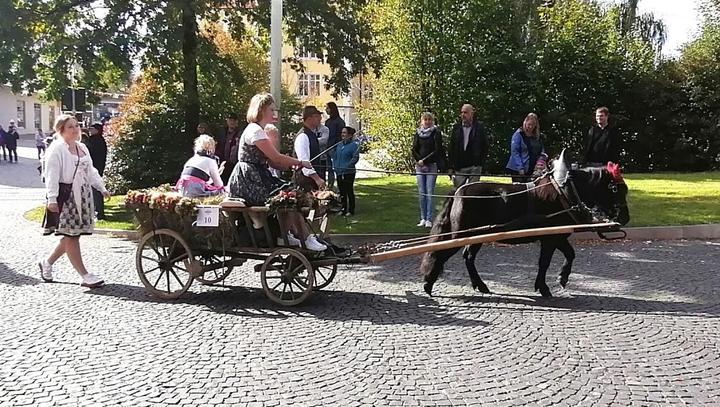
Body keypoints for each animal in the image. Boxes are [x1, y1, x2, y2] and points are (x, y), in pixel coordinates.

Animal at [422, 151, 632, 298]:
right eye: (615, 189)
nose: (625, 217)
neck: (564, 191)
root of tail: (459, 191)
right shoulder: (549, 239)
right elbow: (544, 262)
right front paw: (544, 287)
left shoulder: (558, 236)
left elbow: (570, 254)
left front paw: (562, 278)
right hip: (461, 234)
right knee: (442, 254)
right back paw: (428, 283)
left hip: (476, 236)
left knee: (468, 257)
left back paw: (480, 285)